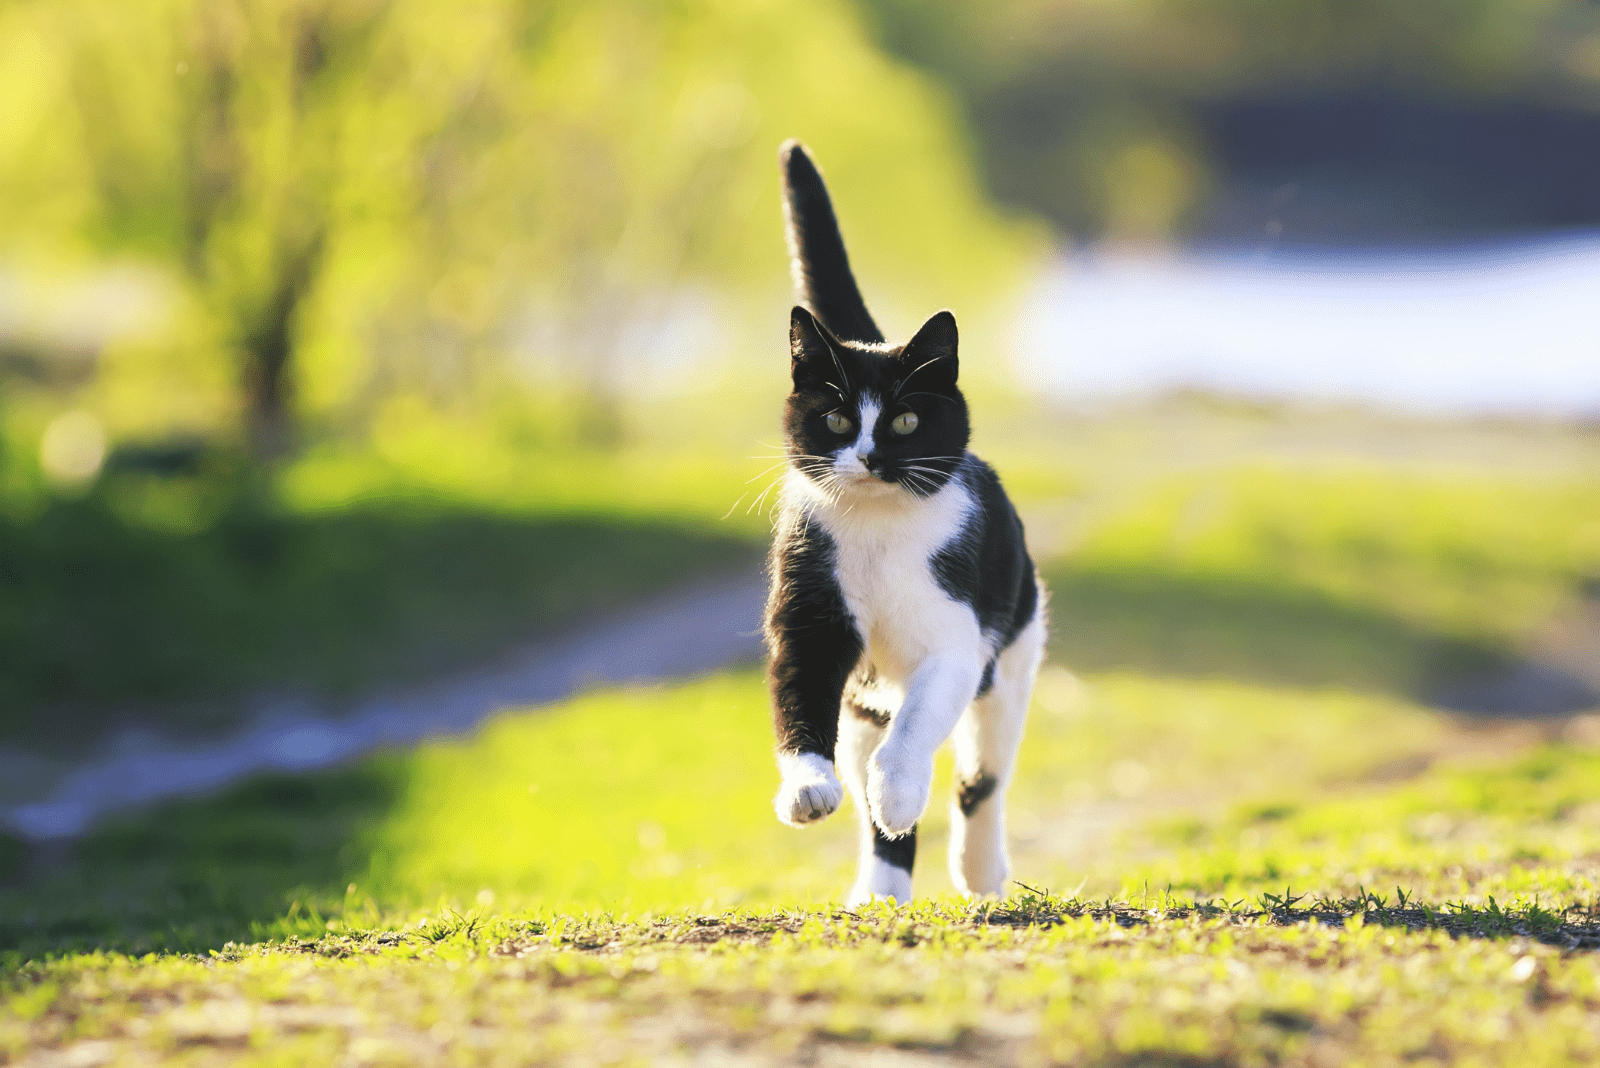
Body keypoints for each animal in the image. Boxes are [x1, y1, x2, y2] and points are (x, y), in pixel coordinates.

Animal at [764, 141, 1049, 908]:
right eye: (836, 420)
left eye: (905, 421)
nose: (867, 455)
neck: (878, 529)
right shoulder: (809, 609)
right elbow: (799, 699)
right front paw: (808, 789)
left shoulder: (955, 642)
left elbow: (919, 729)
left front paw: (897, 792)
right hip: (867, 702)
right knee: (870, 761)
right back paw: (880, 891)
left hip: (1013, 659)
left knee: (983, 777)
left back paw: (980, 871)